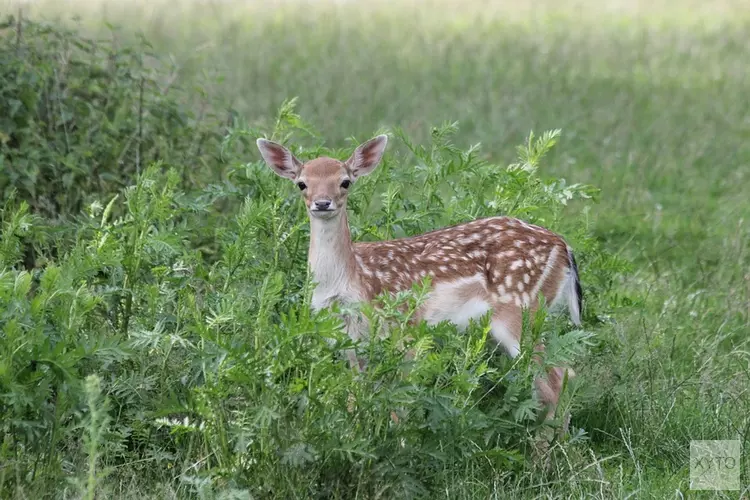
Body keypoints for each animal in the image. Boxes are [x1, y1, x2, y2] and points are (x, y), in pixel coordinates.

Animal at [258, 135, 588, 424]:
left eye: (345, 181)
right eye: (302, 183)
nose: (323, 203)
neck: (350, 281)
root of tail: (564, 247)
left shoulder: (405, 328)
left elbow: (399, 403)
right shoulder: (350, 340)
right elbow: (355, 398)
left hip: (523, 309)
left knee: (557, 379)